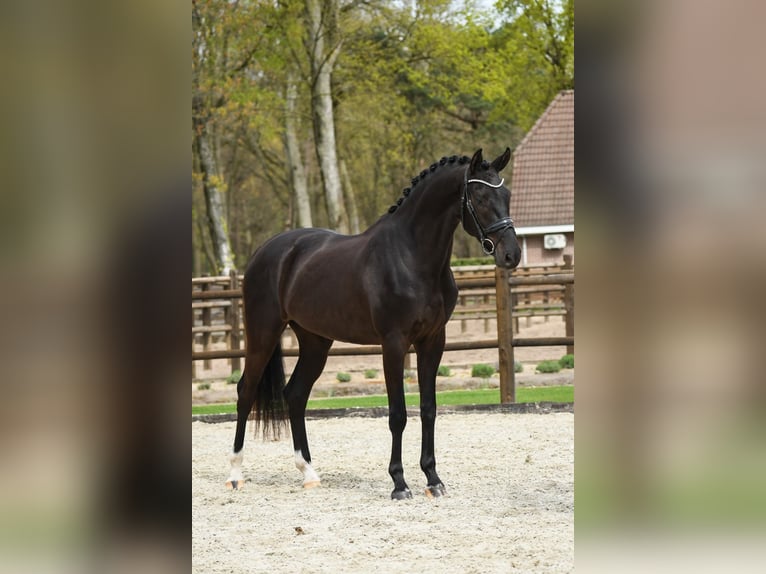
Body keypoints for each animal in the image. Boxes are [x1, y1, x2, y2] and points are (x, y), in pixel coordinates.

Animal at [226, 148, 521, 499]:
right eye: (480, 196)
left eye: (506, 194)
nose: (512, 254)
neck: (410, 257)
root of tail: (265, 251)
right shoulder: (393, 343)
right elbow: (398, 414)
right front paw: (399, 483)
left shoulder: (433, 341)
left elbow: (429, 409)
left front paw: (433, 479)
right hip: (263, 333)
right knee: (246, 391)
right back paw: (235, 474)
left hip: (315, 342)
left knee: (295, 394)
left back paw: (309, 472)